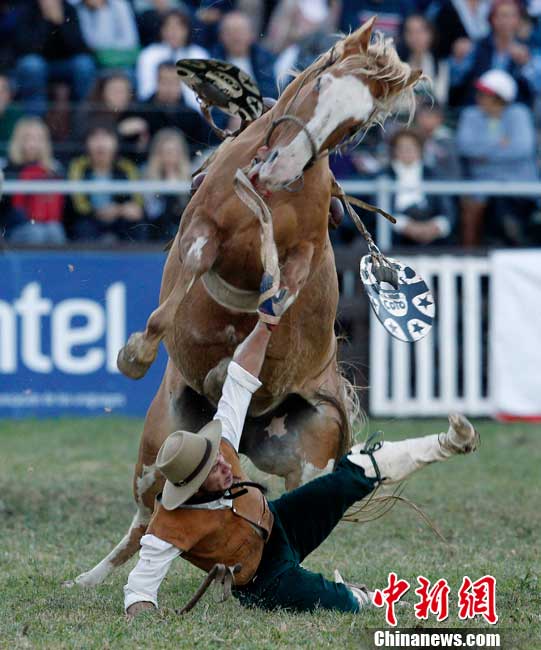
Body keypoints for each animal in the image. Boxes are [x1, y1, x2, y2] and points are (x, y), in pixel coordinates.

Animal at [70, 20, 422, 588]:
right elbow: (181, 288)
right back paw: (91, 577)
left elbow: (274, 305)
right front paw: (135, 354)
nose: (281, 168)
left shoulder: (301, 258)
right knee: (144, 517)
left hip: (309, 453)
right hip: (158, 445)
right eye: (321, 83)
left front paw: (234, 358)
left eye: (353, 126)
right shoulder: (203, 227)